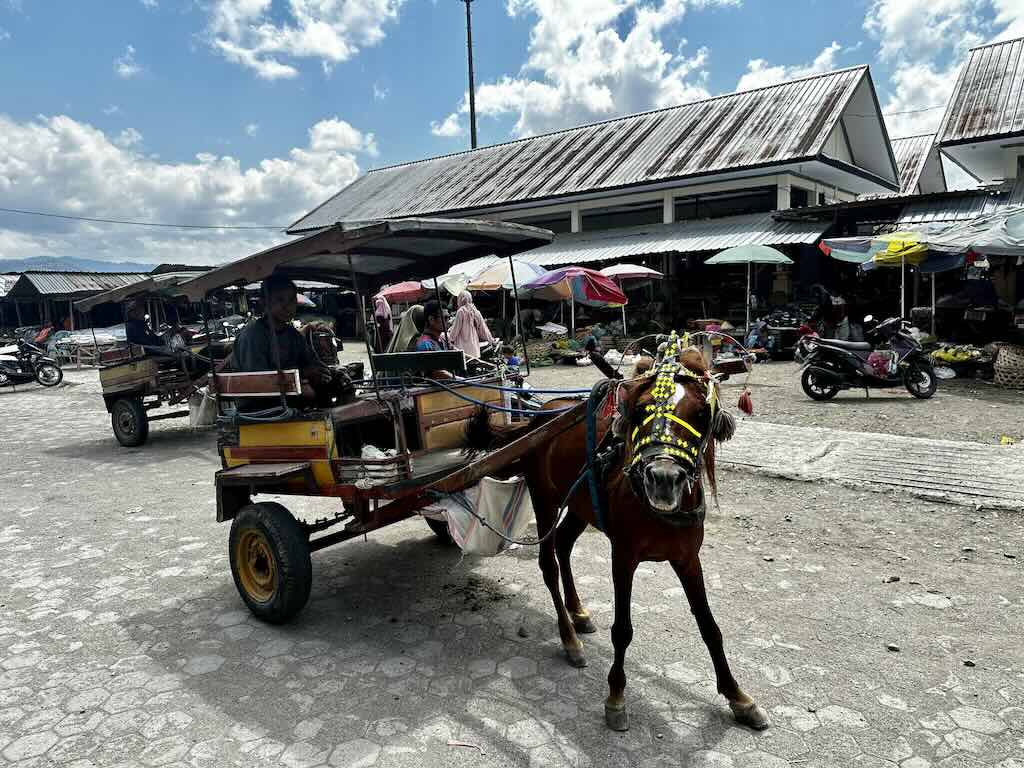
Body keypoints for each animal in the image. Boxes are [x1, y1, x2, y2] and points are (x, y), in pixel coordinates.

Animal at [468, 348, 765, 733]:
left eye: (701, 414)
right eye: (640, 410)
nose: (664, 478)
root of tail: (540, 419)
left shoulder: (687, 558)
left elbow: (710, 627)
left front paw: (738, 697)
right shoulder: (623, 558)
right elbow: (622, 629)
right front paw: (616, 696)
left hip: (580, 505)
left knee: (563, 545)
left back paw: (578, 612)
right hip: (544, 499)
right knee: (548, 563)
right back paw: (570, 638)